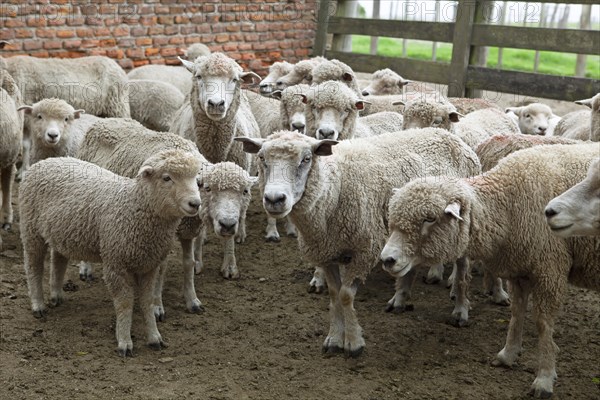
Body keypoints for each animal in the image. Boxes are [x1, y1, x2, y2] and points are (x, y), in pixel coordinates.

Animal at [19, 150, 203, 356]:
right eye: (167, 178)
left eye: (195, 179)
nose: (195, 203)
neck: (134, 206)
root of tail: (46, 161)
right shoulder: (116, 263)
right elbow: (124, 303)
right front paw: (124, 341)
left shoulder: (149, 266)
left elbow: (147, 302)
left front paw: (154, 337)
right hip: (31, 228)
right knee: (33, 266)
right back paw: (38, 305)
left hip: (63, 232)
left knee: (58, 260)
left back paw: (56, 295)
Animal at [77, 117, 209, 314]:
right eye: (167, 178)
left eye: (196, 180)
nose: (195, 204)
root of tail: (105, 120)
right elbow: (160, 270)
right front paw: (156, 306)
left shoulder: (185, 232)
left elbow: (188, 263)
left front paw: (192, 300)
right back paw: (86, 268)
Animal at [237, 127, 480, 356]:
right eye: (261, 157)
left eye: (306, 159)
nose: (274, 199)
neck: (333, 189)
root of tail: (448, 135)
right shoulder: (326, 252)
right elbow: (335, 295)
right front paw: (335, 339)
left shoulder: (364, 250)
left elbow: (346, 295)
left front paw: (353, 342)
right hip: (407, 233)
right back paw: (400, 299)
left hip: (458, 229)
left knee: (463, 268)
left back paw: (460, 309)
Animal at [380, 141, 600, 396]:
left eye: (429, 219)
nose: (387, 259)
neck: (506, 204)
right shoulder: (521, 269)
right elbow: (516, 313)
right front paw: (508, 354)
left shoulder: (550, 267)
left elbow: (543, 324)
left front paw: (544, 377)